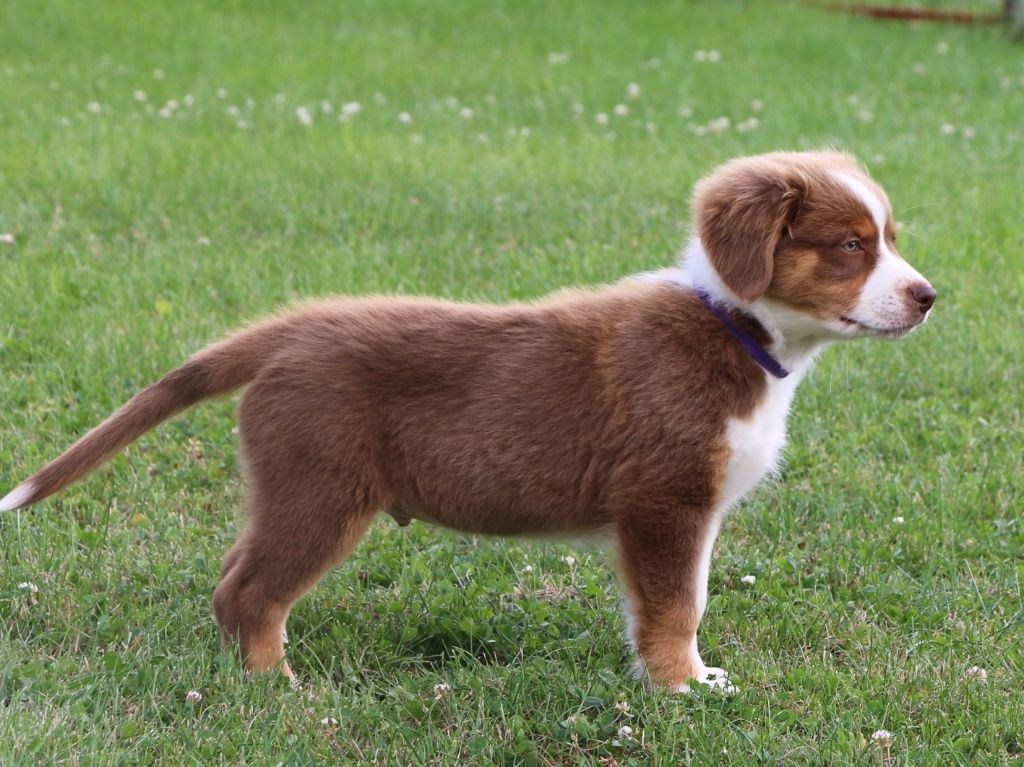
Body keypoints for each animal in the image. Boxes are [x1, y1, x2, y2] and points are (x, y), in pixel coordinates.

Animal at [0, 150, 935, 690]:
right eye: (850, 245)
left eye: (889, 235)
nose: (930, 296)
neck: (735, 327)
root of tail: (290, 328)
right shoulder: (664, 499)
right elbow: (675, 606)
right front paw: (677, 690)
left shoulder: (686, 514)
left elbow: (684, 601)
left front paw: (691, 677)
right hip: (322, 488)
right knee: (248, 589)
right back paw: (278, 688)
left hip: (290, 486)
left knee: (236, 574)